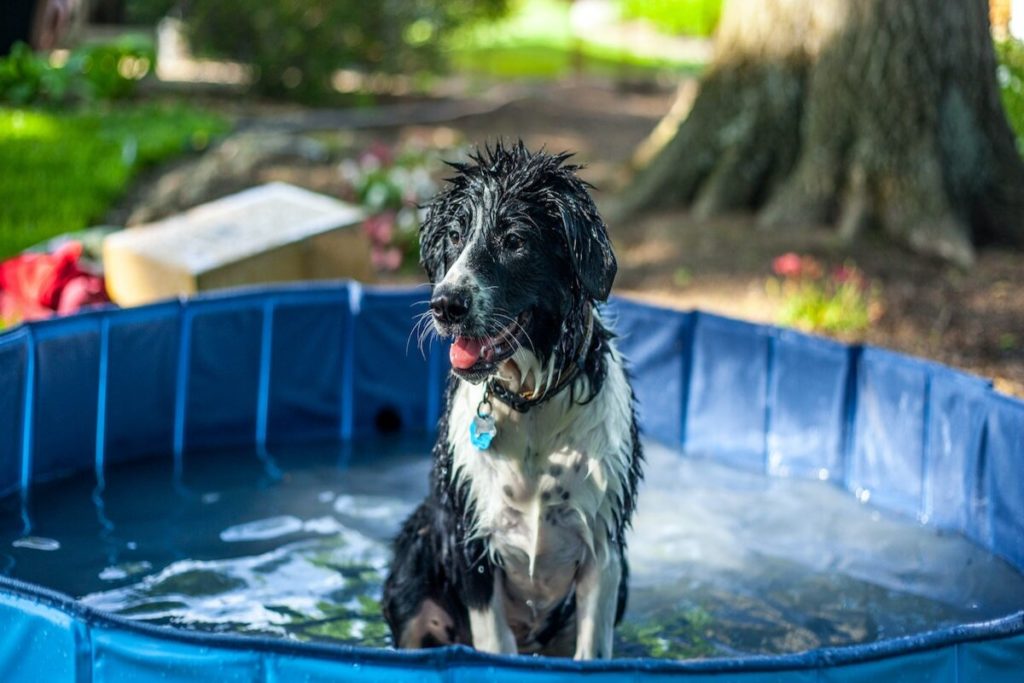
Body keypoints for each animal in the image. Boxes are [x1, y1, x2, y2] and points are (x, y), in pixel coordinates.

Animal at [385, 141, 638, 659]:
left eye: (515, 240)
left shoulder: (604, 552)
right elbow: (495, 644)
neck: (530, 403)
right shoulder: (471, 544)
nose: (446, 305)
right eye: (455, 235)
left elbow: (592, 649)